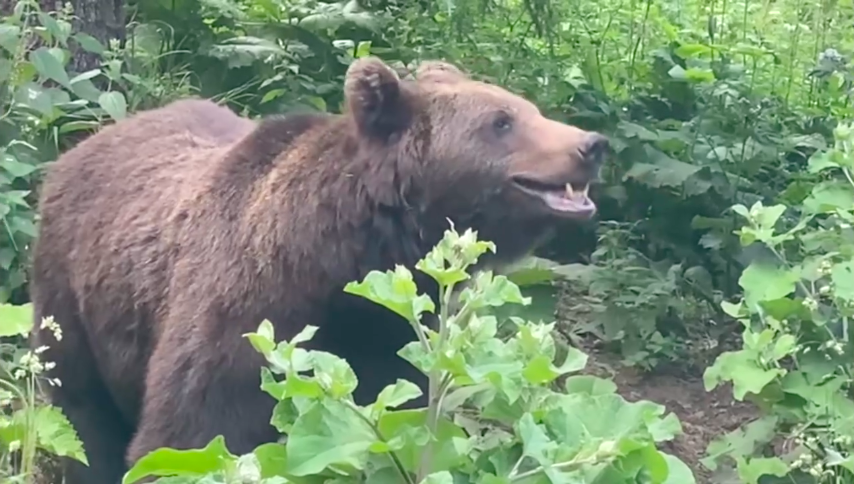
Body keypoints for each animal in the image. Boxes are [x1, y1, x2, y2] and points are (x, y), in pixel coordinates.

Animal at [30, 57, 608, 484]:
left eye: (528, 109)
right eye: (501, 122)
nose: (591, 145)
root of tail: (85, 143)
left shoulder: (388, 336)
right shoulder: (239, 315)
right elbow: (187, 437)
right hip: (71, 292)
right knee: (83, 413)